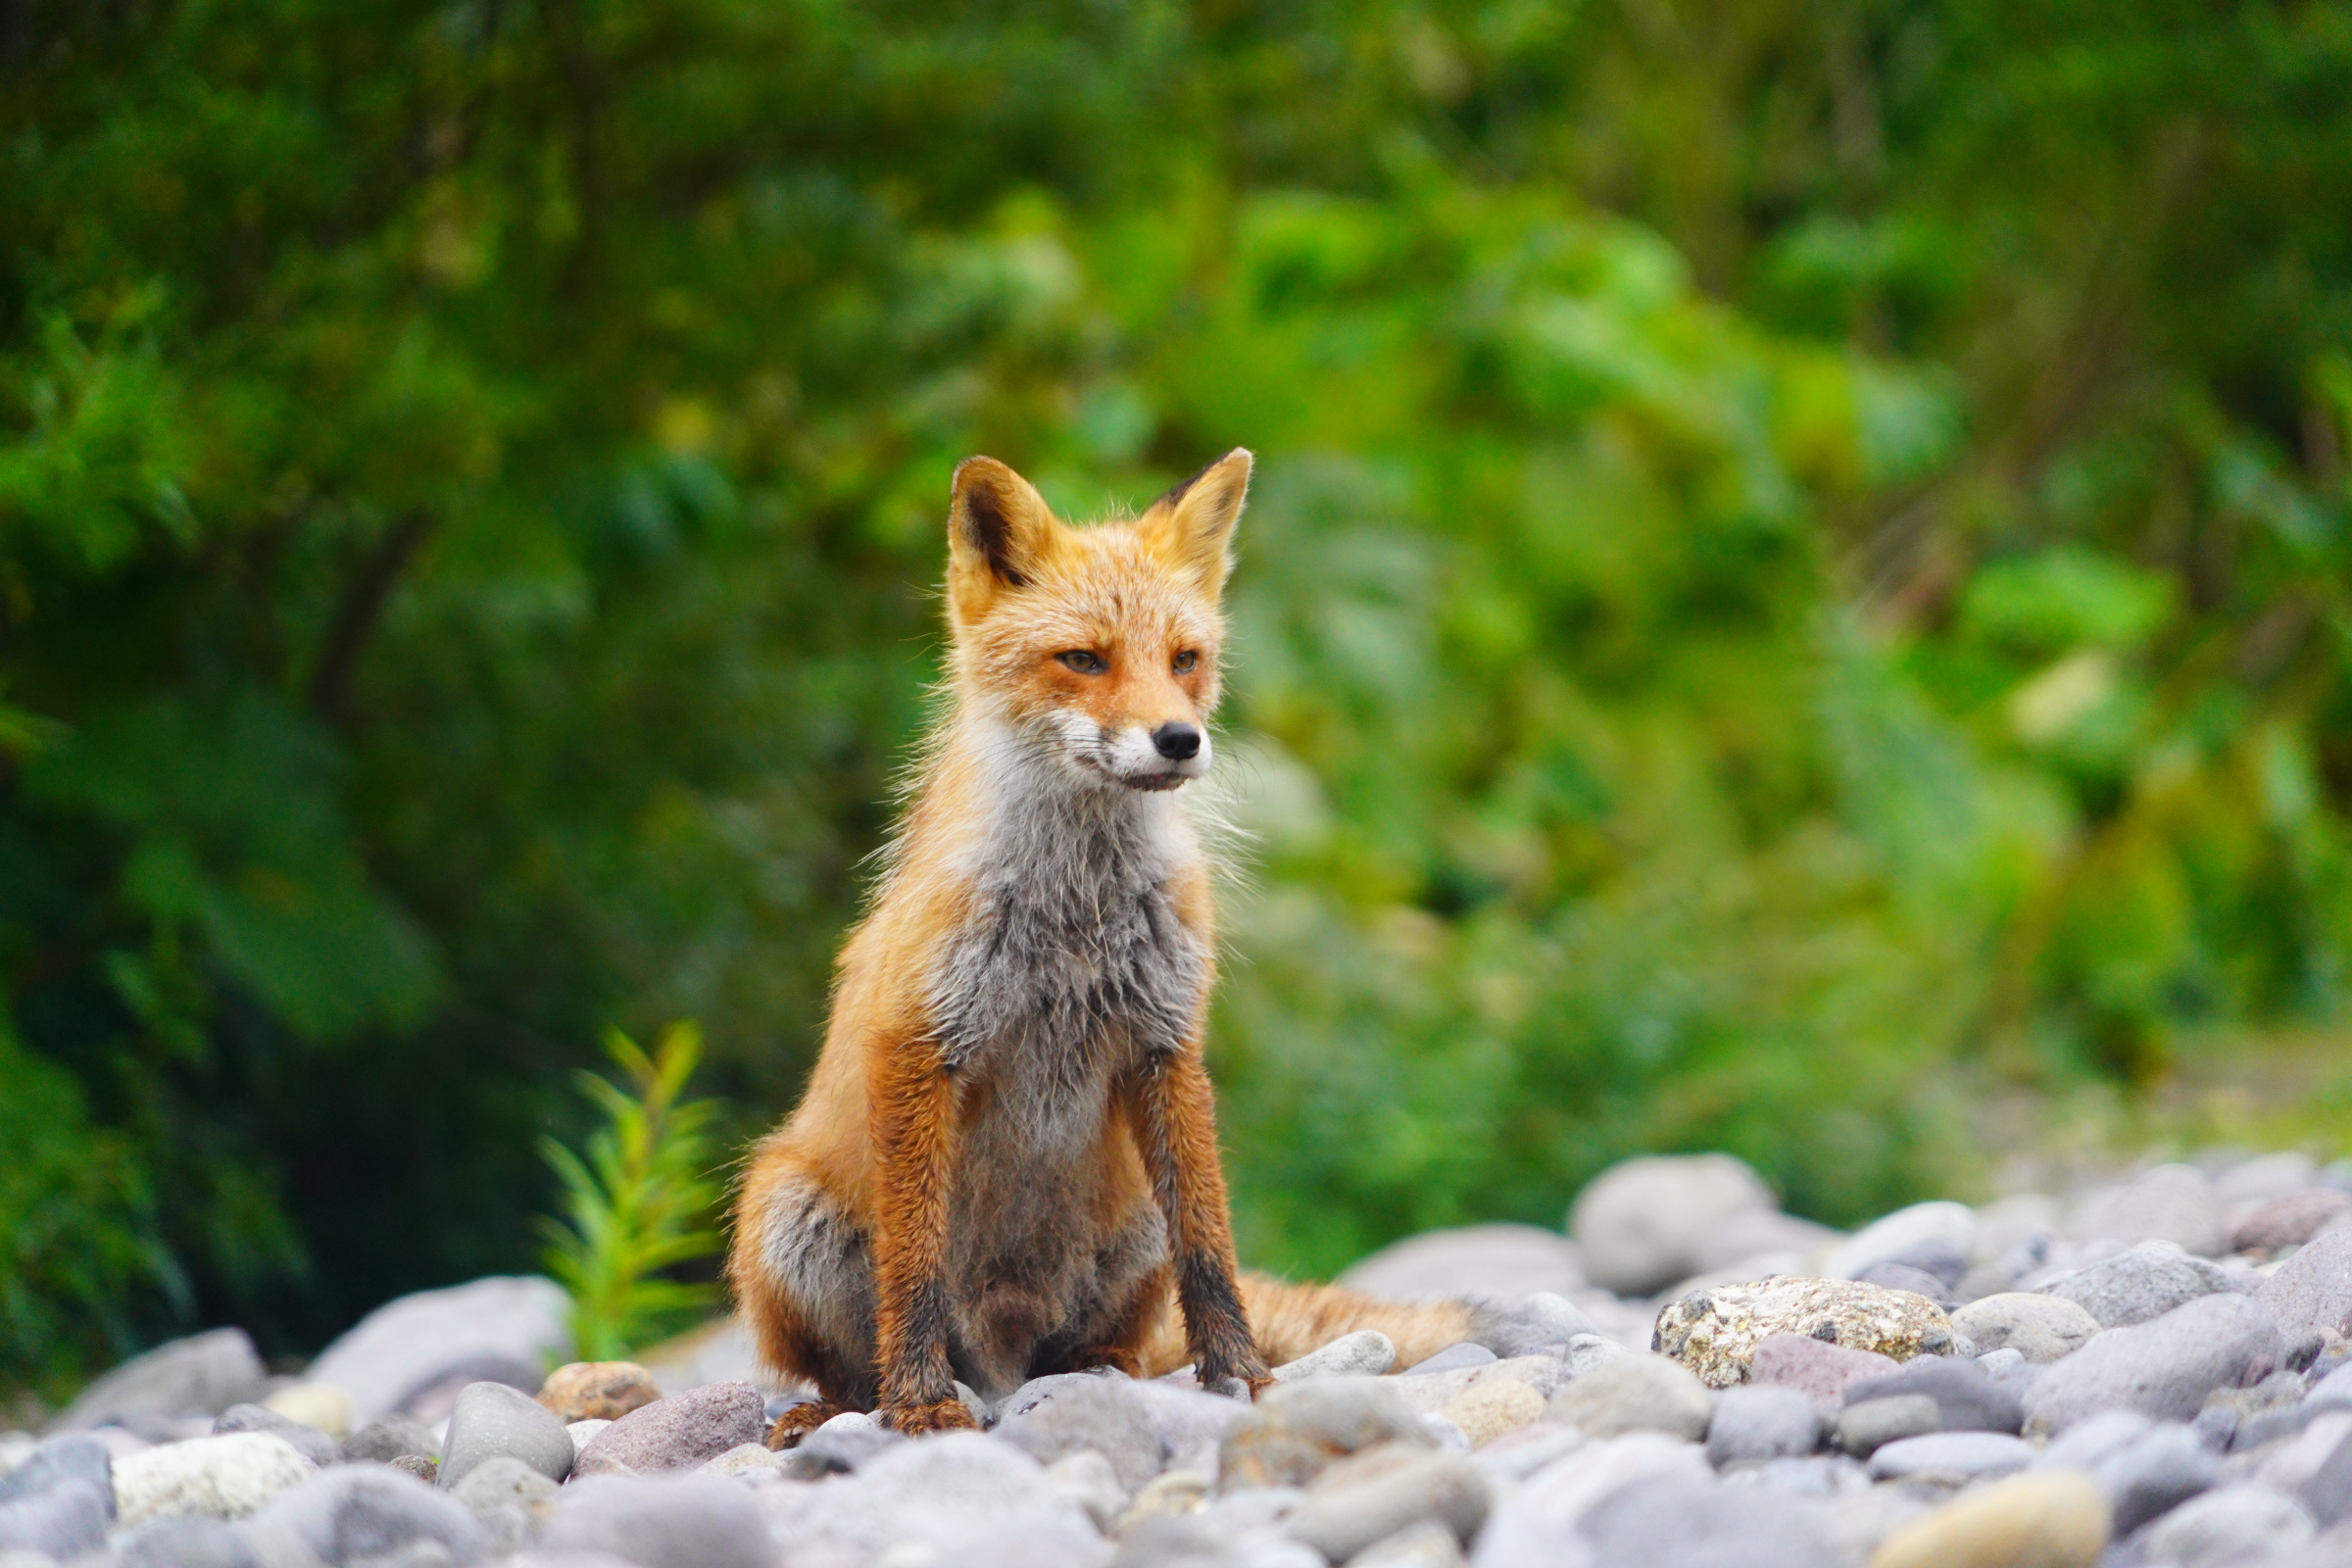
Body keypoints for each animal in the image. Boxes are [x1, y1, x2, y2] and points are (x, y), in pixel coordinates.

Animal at [729, 444, 1486, 1447]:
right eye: (1084, 659)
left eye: (1184, 661)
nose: (1179, 739)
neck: (1075, 914)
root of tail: (1003, 1360)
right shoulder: (919, 1042)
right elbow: (915, 1262)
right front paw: (921, 1402)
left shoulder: (1168, 1042)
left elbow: (1213, 1249)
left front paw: (1245, 1377)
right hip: (782, 1211)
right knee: (845, 1363)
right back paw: (840, 1407)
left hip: (1134, 1231)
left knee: (1112, 1338)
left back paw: (1102, 1372)